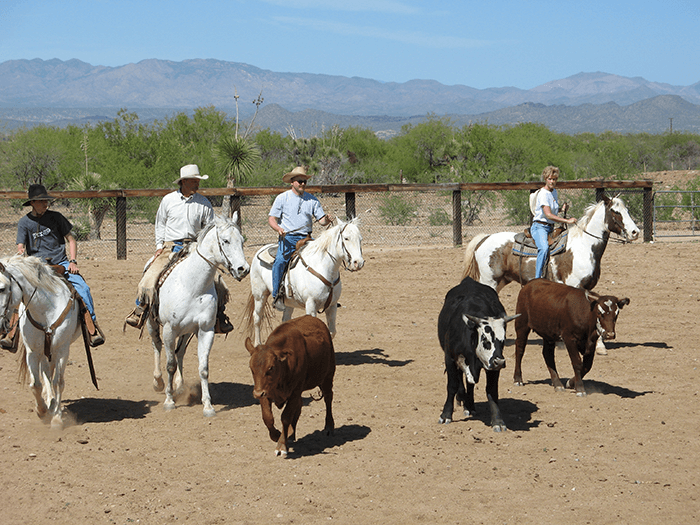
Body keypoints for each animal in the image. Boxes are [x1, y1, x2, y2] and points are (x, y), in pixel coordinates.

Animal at [0, 254, 87, 430]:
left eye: (3, 288)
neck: (45, 309)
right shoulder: (33, 352)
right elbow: (36, 384)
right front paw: (41, 411)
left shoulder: (62, 350)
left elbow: (58, 382)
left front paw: (57, 419)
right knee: (46, 373)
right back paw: (49, 402)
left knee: (51, 374)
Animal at [146, 214, 250, 418]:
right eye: (225, 241)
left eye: (242, 241)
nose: (243, 269)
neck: (191, 286)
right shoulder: (169, 329)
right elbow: (169, 364)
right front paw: (169, 401)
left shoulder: (205, 330)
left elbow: (203, 369)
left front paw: (208, 406)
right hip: (152, 323)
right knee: (157, 346)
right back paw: (158, 382)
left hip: (187, 331)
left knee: (180, 352)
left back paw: (179, 385)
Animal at [243, 215, 364, 346]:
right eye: (346, 238)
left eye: (360, 239)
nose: (358, 263)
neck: (322, 267)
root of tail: (261, 249)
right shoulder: (311, 305)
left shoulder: (332, 306)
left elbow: (331, 332)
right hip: (260, 295)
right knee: (257, 318)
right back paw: (257, 344)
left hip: (288, 302)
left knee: (284, 321)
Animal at [245, 314, 334, 456]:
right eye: (251, 367)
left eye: (271, 367)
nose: (257, 393)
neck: (284, 366)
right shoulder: (265, 391)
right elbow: (267, 417)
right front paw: (277, 435)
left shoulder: (294, 392)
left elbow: (285, 417)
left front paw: (281, 445)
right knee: (299, 406)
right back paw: (291, 434)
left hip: (327, 375)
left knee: (328, 398)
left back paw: (329, 427)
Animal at [438, 276, 520, 432]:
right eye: (486, 340)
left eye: (503, 340)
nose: (500, 362)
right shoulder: (450, 359)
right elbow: (452, 386)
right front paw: (446, 415)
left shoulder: (493, 367)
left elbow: (492, 390)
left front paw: (498, 421)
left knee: (469, 384)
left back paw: (469, 405)